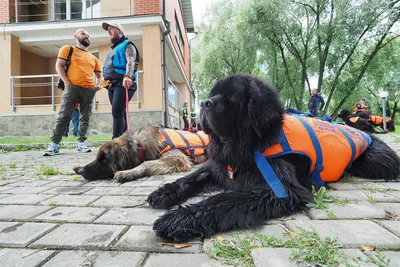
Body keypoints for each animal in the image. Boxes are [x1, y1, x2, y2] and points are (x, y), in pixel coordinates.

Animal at [72, 124, 209, 183]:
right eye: (98, 157)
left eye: (105, 159)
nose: (82, 172)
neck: (140, 145)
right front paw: (78, 166)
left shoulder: (177, 159)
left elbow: (146, 163)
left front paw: (127, 173)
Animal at [148, 74, 400, 242]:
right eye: (212, 95)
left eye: (230, 97)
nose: (203, 103)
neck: (248, 143)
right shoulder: (221, 166)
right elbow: (194, 176)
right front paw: (165, 192)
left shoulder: (282, 188)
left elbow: (224, 200)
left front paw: (179, 218)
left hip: (376, 160)